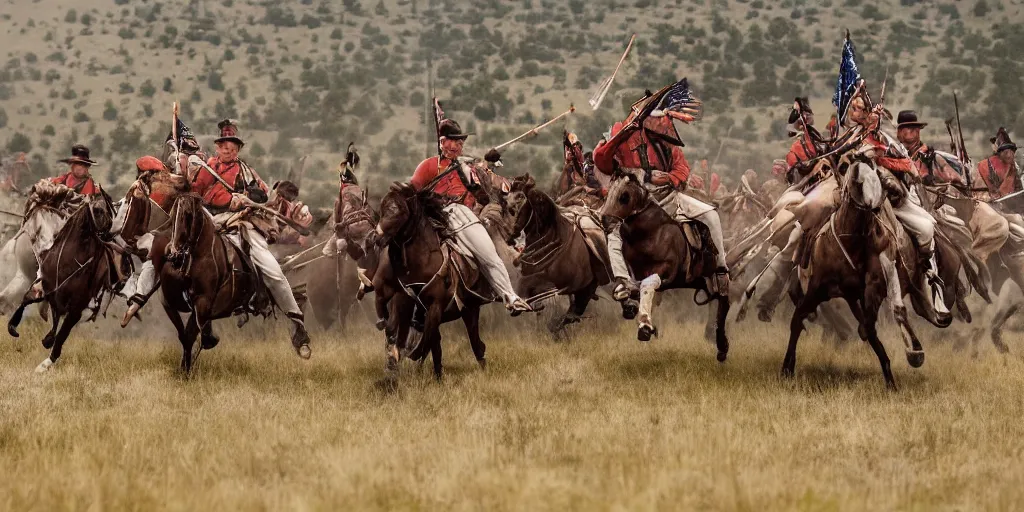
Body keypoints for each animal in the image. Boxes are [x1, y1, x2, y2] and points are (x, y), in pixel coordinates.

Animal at [7, 196, 121, 372]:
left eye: (109, 209)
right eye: (97, 210)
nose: (110, 231)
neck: (70, 263)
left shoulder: (75, 310)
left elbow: (61, 335)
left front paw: (45, 363)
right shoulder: (43, 289)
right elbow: (27, 300)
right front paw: (13, 327)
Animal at [598, 174, 733, 362]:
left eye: (624, 196)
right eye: (608, 191)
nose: (605, 220)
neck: (650, 233)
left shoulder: (665, 272)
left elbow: (647, 286)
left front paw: (645, 326)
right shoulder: (637, 273)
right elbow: (635, 289)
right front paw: (635, 311)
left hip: (714, 274)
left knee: (722, 302)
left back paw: (721, 345)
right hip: (703, 282)